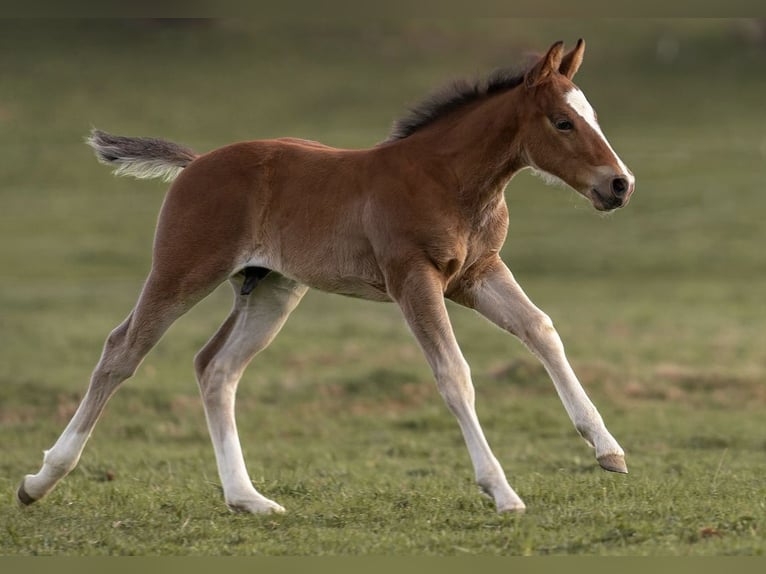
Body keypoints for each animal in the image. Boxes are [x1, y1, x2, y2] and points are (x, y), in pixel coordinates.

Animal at [18, 39, 634, 514]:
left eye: (594, 117)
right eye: (562, 122)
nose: (619, 184)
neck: (449, 178)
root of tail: (196, 163)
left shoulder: (476, 274)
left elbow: (541, 329)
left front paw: (608, 449)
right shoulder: (413, 278)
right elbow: (454, 374)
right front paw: (502, 492)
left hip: (271, 290)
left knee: (215, 367)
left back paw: (248, 499)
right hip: (182, 268)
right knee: (122, 349)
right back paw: (39, 480)